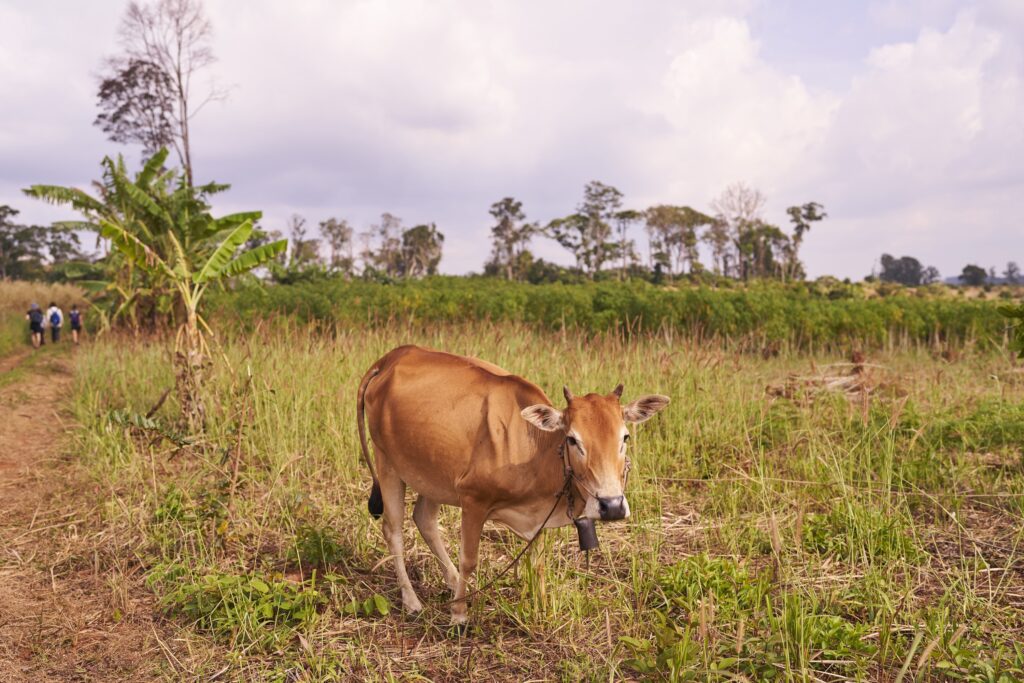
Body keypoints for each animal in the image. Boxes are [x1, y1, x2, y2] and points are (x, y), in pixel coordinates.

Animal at [356, 344, 667, 622]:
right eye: (572, 439)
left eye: (625, 437)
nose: (611, 505)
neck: (535, 447)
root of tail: (390, 357)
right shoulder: (473, 500)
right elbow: (469, 559)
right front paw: (459, 615)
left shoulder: (538, 514)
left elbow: (538, 562)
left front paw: (541, 606)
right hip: (388, 463)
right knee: (393, 530)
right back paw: (412, 601)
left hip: (433, 474)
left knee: (424, 519)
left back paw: (452, 583)